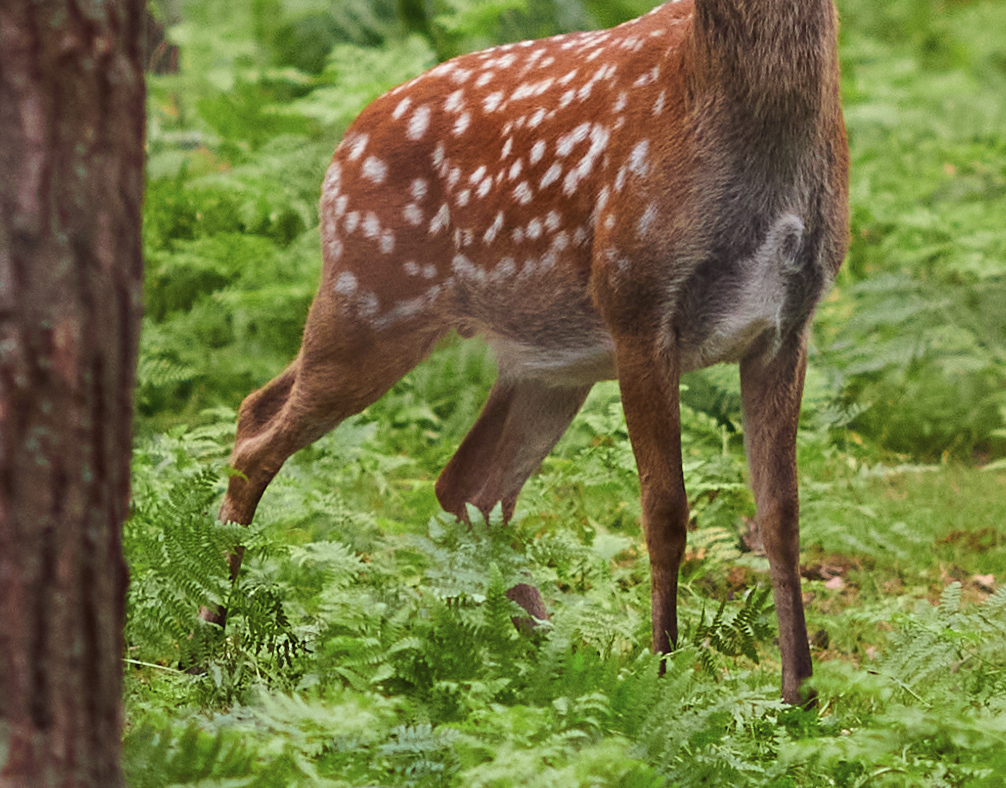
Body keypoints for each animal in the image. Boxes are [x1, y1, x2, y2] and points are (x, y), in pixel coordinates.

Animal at [218, 0, 849, 704]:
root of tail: (342, 148)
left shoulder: (787, 326)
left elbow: (781, 516)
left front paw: (801, 700)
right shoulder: (637, 302)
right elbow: (665, 513)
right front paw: (661, 685)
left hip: (545, 363)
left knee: (463, 483)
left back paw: (558, 660)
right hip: (372, 298)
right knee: (258, 430)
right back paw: (206, 636)